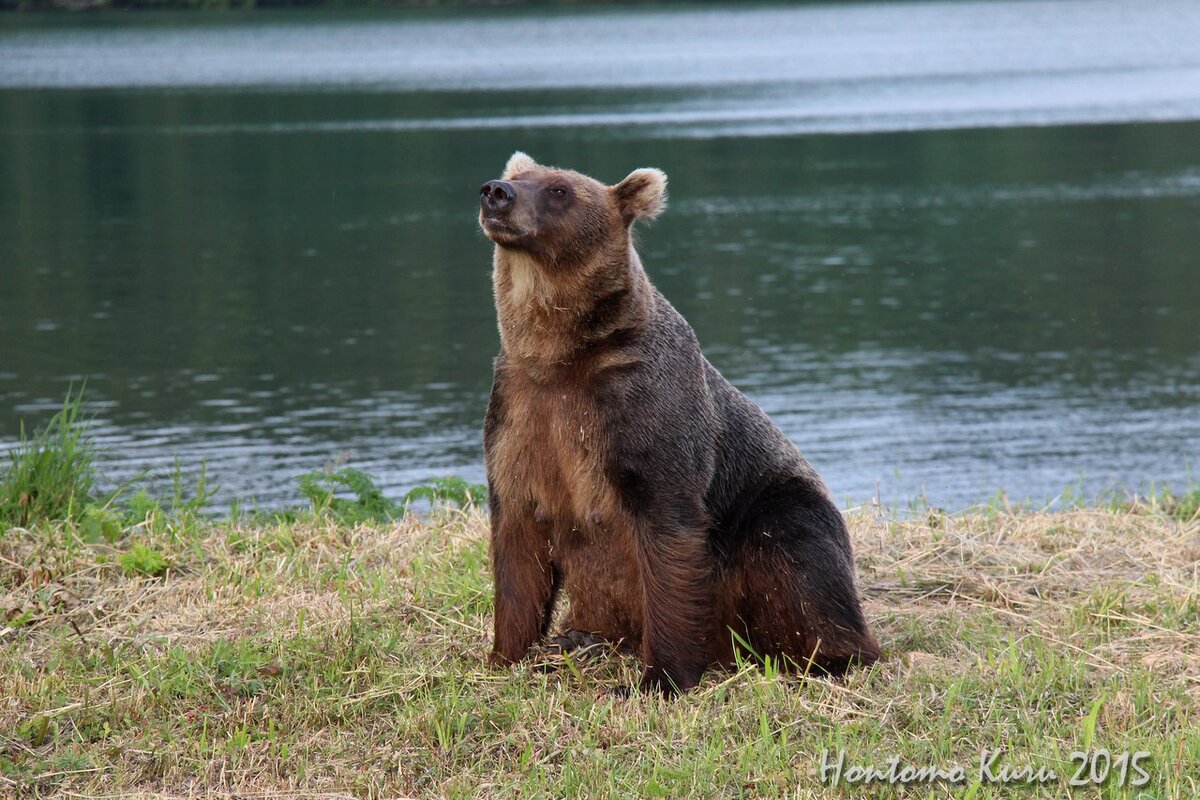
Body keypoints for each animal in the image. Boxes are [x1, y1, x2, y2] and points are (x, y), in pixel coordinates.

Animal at [477, 149, 883, 695]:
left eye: (559, 189)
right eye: (521, 176)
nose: (496, 192)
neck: (562, 354)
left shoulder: (646, 411)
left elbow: (668, 536)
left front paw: (658, 677)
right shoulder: (520, 413)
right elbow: (518, 542)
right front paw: (506, 655)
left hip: (773, 509)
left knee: (797, 557)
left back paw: (827, 658)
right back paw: (578, 637)